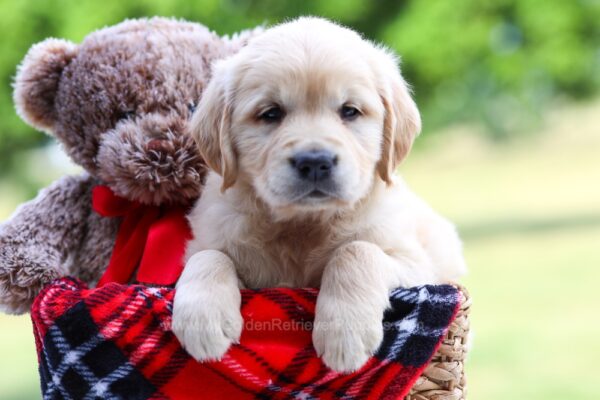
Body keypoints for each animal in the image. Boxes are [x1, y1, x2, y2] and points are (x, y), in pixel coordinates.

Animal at [171, 15, 466, 372]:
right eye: (271, 113)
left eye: (350, 111)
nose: (314, 162)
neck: (303, 225)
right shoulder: (214, 241)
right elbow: (209, 256)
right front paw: (202, 320)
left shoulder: (419, 268)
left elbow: (355, 250)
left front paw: (344, 334)